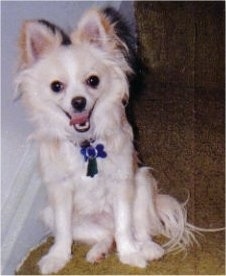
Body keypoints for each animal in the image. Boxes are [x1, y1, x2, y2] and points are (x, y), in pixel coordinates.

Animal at [15, 7, 198, 274]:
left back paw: (147, 248)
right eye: (56, 86)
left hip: (142, 185)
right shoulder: (60, 192)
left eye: (93, 81)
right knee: (105, 235)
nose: (78, 101)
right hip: (58, 216)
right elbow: (63, 232)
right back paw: (98, 251)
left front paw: (130, 254)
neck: (85, 145)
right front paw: (57, 257)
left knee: (136, 230)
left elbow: (123, 227)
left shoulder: (121, 185)